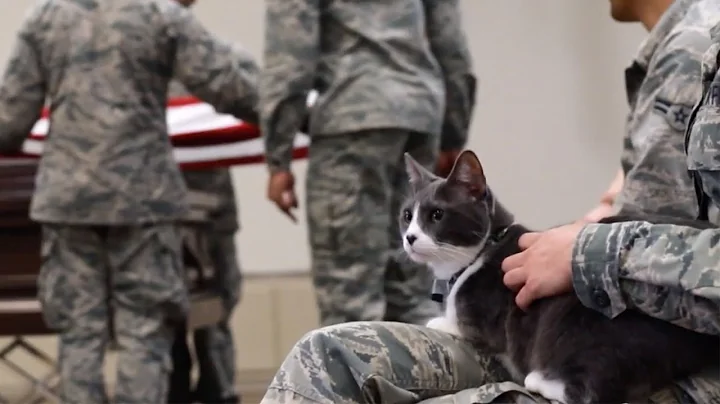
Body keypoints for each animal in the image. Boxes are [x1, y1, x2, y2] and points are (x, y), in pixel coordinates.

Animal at [400, 150, 720, 404]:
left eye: (437, 215)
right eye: (407, 216)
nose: (410, 237)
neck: (483, 250)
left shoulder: (481, 318)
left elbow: (460, 325)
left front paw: (438, 320)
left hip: (581, 319)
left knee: (593, 388)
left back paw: (539, 379)